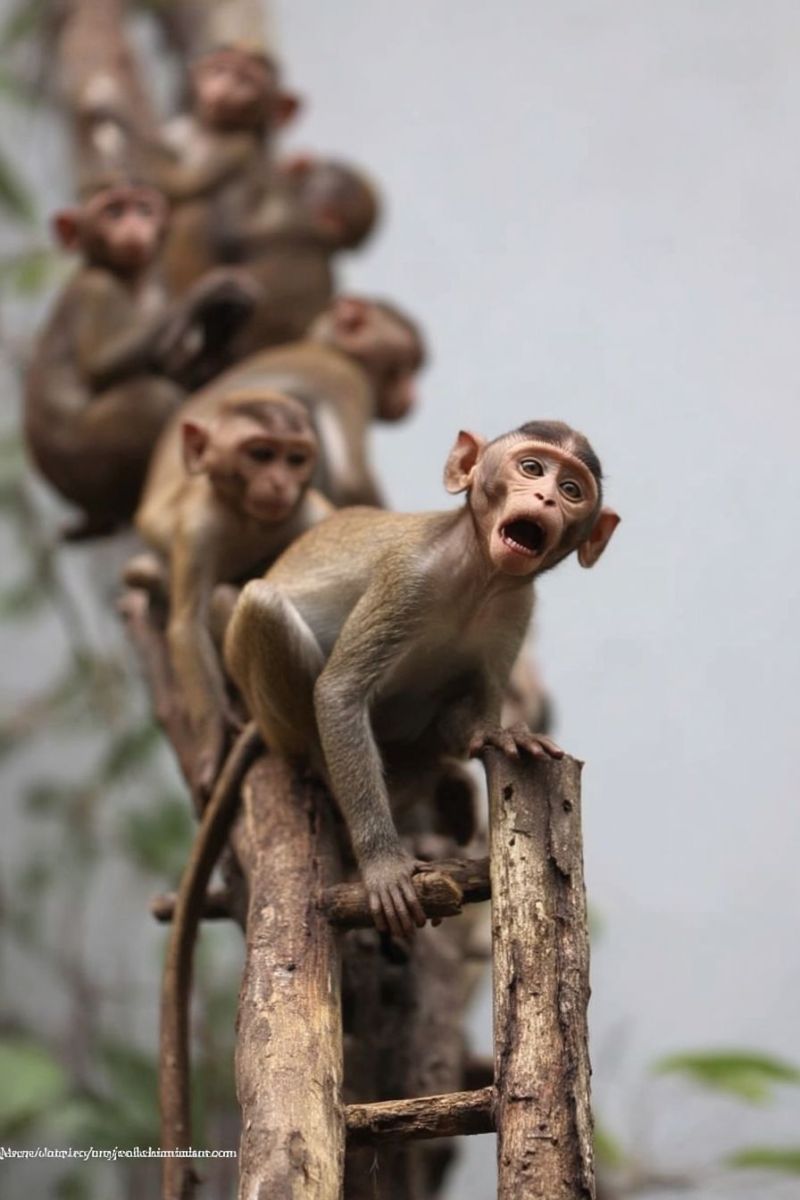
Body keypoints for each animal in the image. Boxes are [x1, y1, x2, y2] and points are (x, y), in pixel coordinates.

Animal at [24, 181, 259, 538]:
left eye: (144, 208)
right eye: (113, 211)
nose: (133, 224)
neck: (132, 281)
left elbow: (179, 369)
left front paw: (221, 333)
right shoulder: (97, 289)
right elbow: (103, 366)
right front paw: (207, 294)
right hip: (89, 465)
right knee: (152, 399)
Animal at [132, 390, 333, 800]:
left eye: (295, 459)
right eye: (261, 454)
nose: (280, 482)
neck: (249, 520)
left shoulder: (310, 515)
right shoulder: (198, 527)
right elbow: (186, 623)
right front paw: (214, 740)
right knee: (219, 597)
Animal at [140, 294, 425, 513]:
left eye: (414, 366)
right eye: (406, 365)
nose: (412, 394)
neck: (318, 347)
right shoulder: (345, 376)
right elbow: (351, 479)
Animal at [223, 419, 620, 939]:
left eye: (572, 489)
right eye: (532, 468)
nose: (547, 498)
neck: (481, 577)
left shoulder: (516, 609)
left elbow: (480, 707)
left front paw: (498, 733)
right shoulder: (408, 579)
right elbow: (339, 692)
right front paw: (383, 866)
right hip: (275, 720)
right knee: (264, 605)